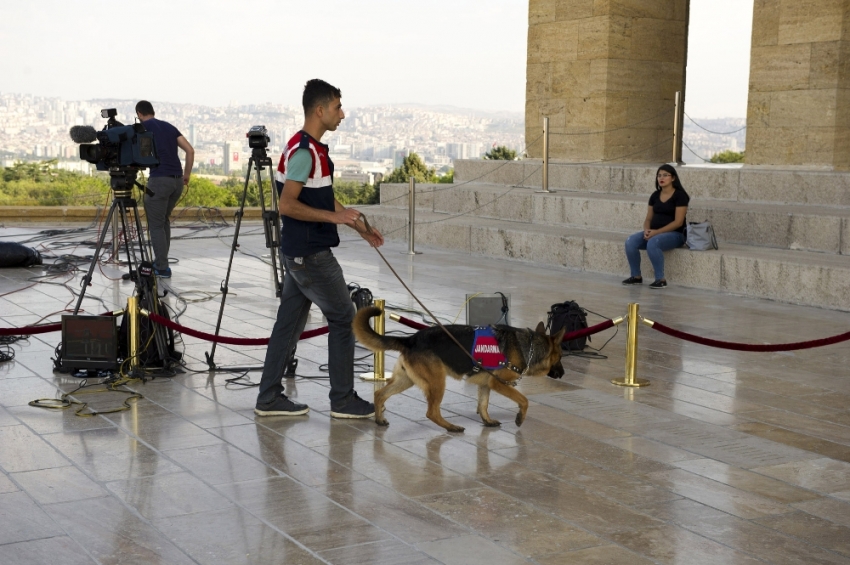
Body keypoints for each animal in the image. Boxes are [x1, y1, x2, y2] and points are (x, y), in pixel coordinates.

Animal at [352, 306, 564, 430]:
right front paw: (520, 417)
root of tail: (410, 339)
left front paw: (487, 421)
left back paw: (379, 420)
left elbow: (483, 404)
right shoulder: (499, 384)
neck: (528, 346)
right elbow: (524, 400)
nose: (562, 374)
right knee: (431, 412)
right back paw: (451, 427)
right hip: (437, 382)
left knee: (380, 394)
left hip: (407, 380)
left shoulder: (485, 385)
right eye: (561, 357)